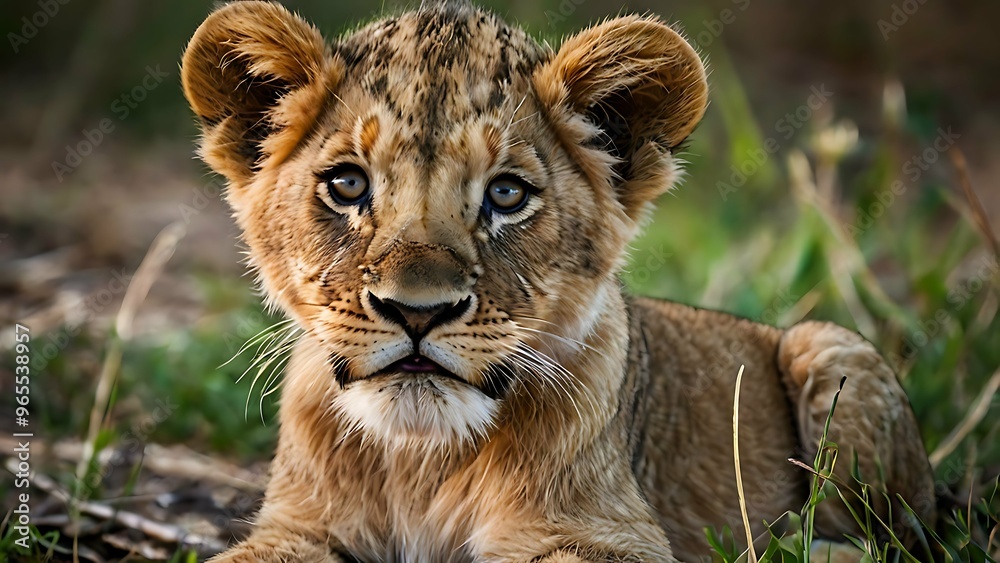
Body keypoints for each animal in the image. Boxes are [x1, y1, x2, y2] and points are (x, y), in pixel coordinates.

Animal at [180, 1, 936, 560]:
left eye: (507, 194)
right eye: (347, 185)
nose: (418, 312)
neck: (420, 459)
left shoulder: (610, 533)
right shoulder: (296, 527)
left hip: (831, 346)